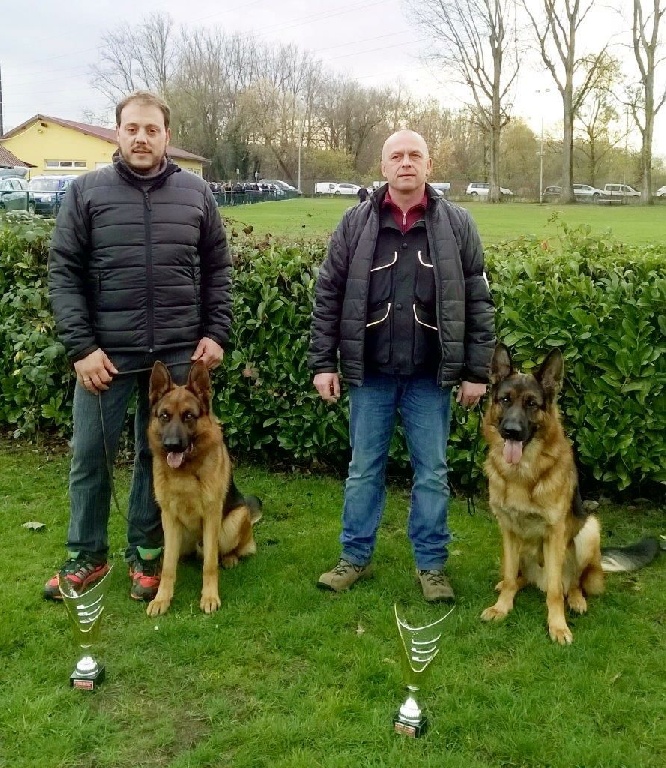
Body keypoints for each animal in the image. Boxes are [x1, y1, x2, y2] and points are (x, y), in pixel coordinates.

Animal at [147, 360, 260, 616]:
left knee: (227, 551)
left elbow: (210, 564)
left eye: (189, 416)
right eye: (165, 416)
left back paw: (229, 558)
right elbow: (168, 567)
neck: (185, 473)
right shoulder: (169, 517)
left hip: (234, 520)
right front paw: (161, 599)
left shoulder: (211, 515)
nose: (171, 446)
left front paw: (209, 597)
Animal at [480, 344, 656, 644]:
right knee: (518, 577)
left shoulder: (555, 534)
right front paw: (502, 607)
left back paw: (576, 600)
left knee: (573, 582)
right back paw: (508, 585)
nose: (511, 431)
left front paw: (558, 626)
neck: (522, 474)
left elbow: (554, 592)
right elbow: (511, 575)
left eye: (532, 404)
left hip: (588, 531)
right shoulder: (508, 529)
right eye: (505, 400)